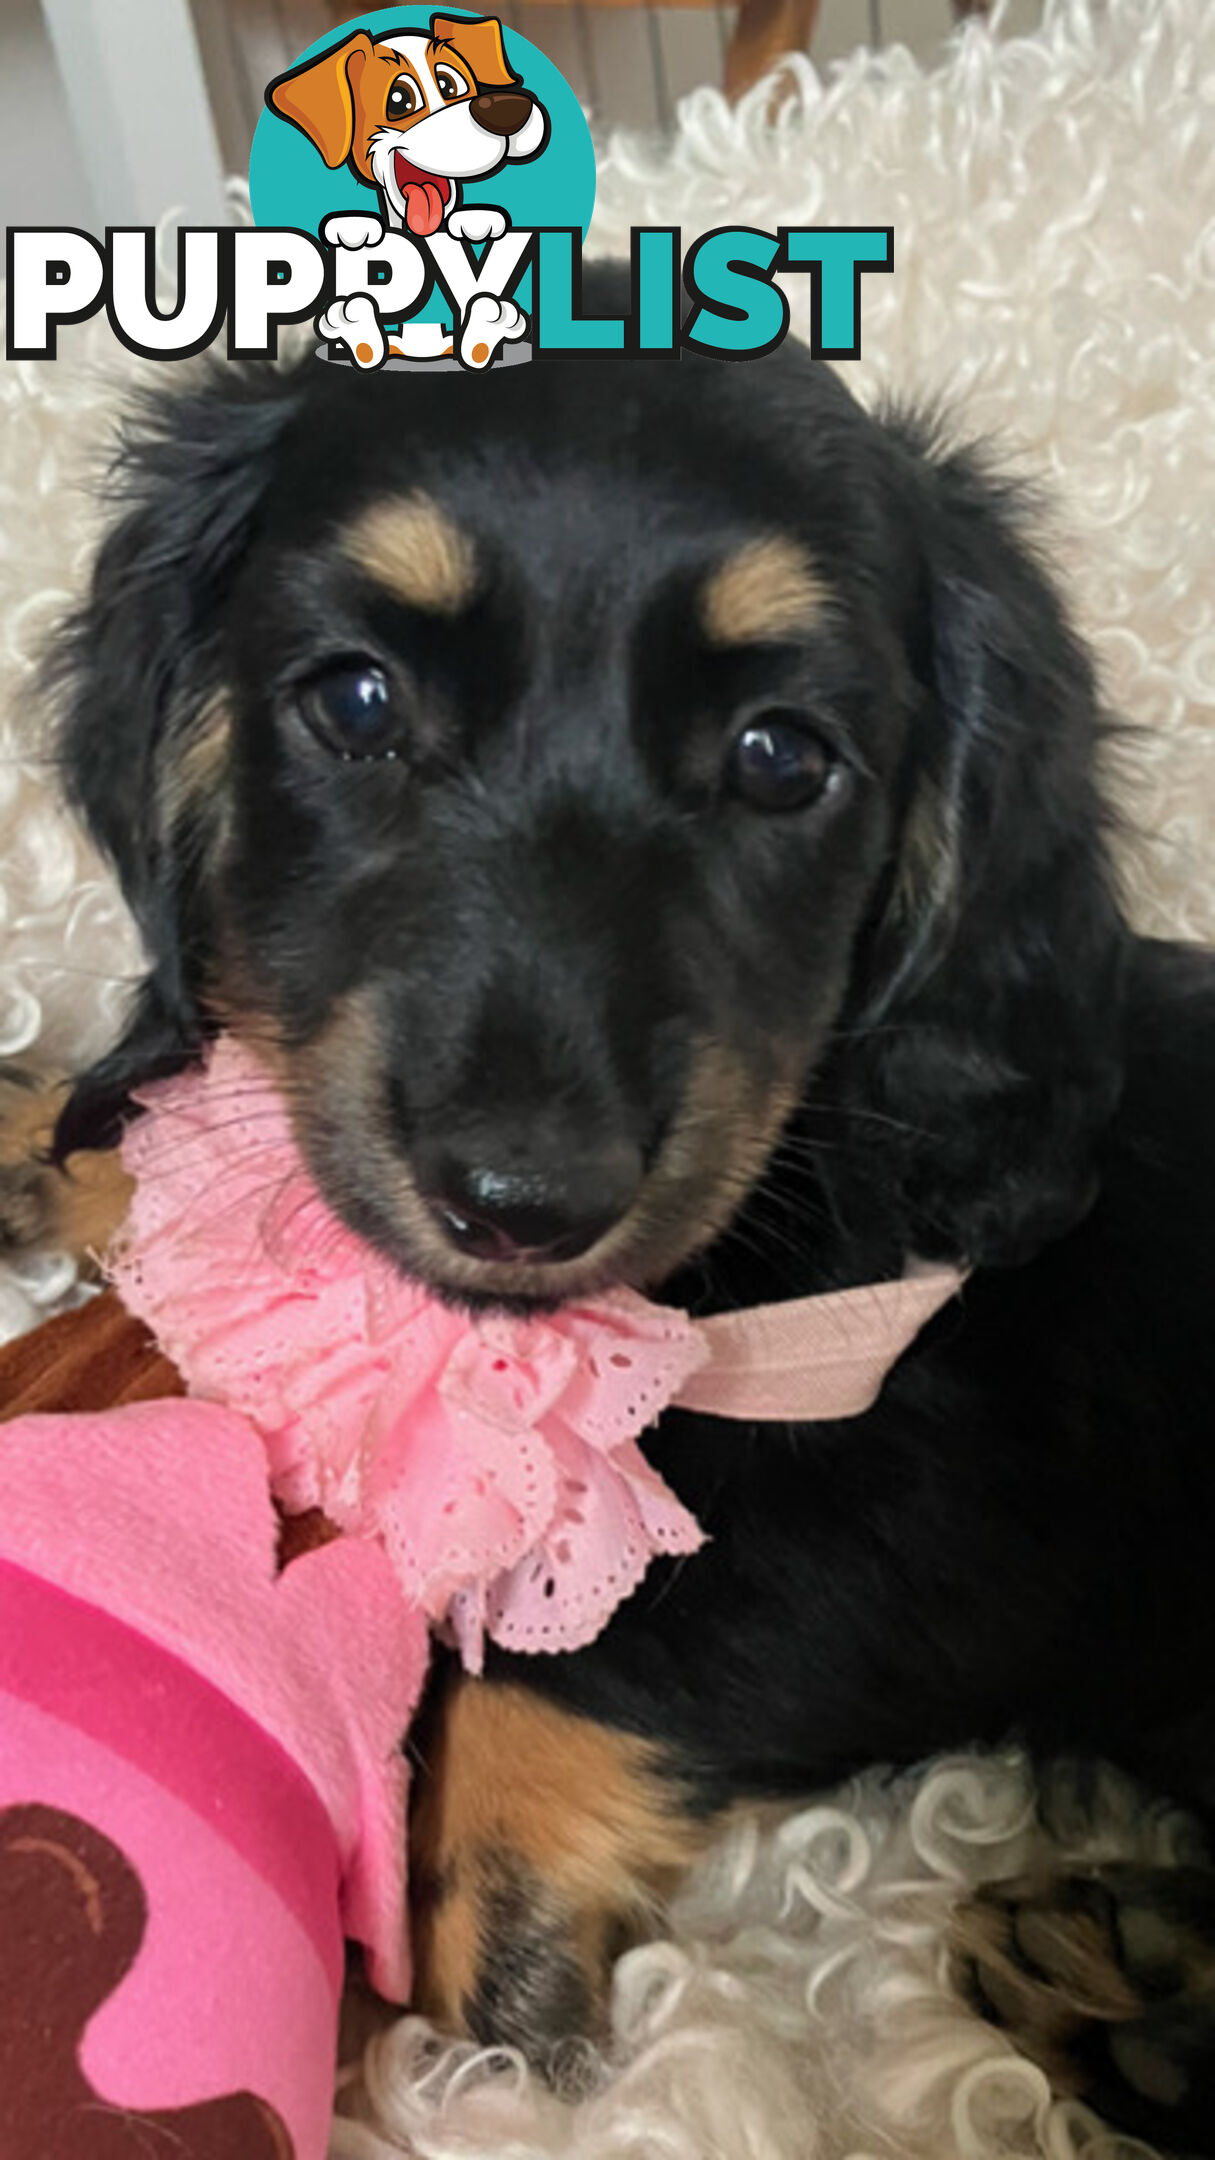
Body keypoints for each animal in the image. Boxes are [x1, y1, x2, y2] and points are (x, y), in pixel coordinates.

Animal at [9, 282, 1210, 2142]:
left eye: (782, 758)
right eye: (355, 700)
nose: (520, 1202)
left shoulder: (936, 1482)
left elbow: (572, 1659)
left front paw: (488, 1997)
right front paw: (52, 1140)